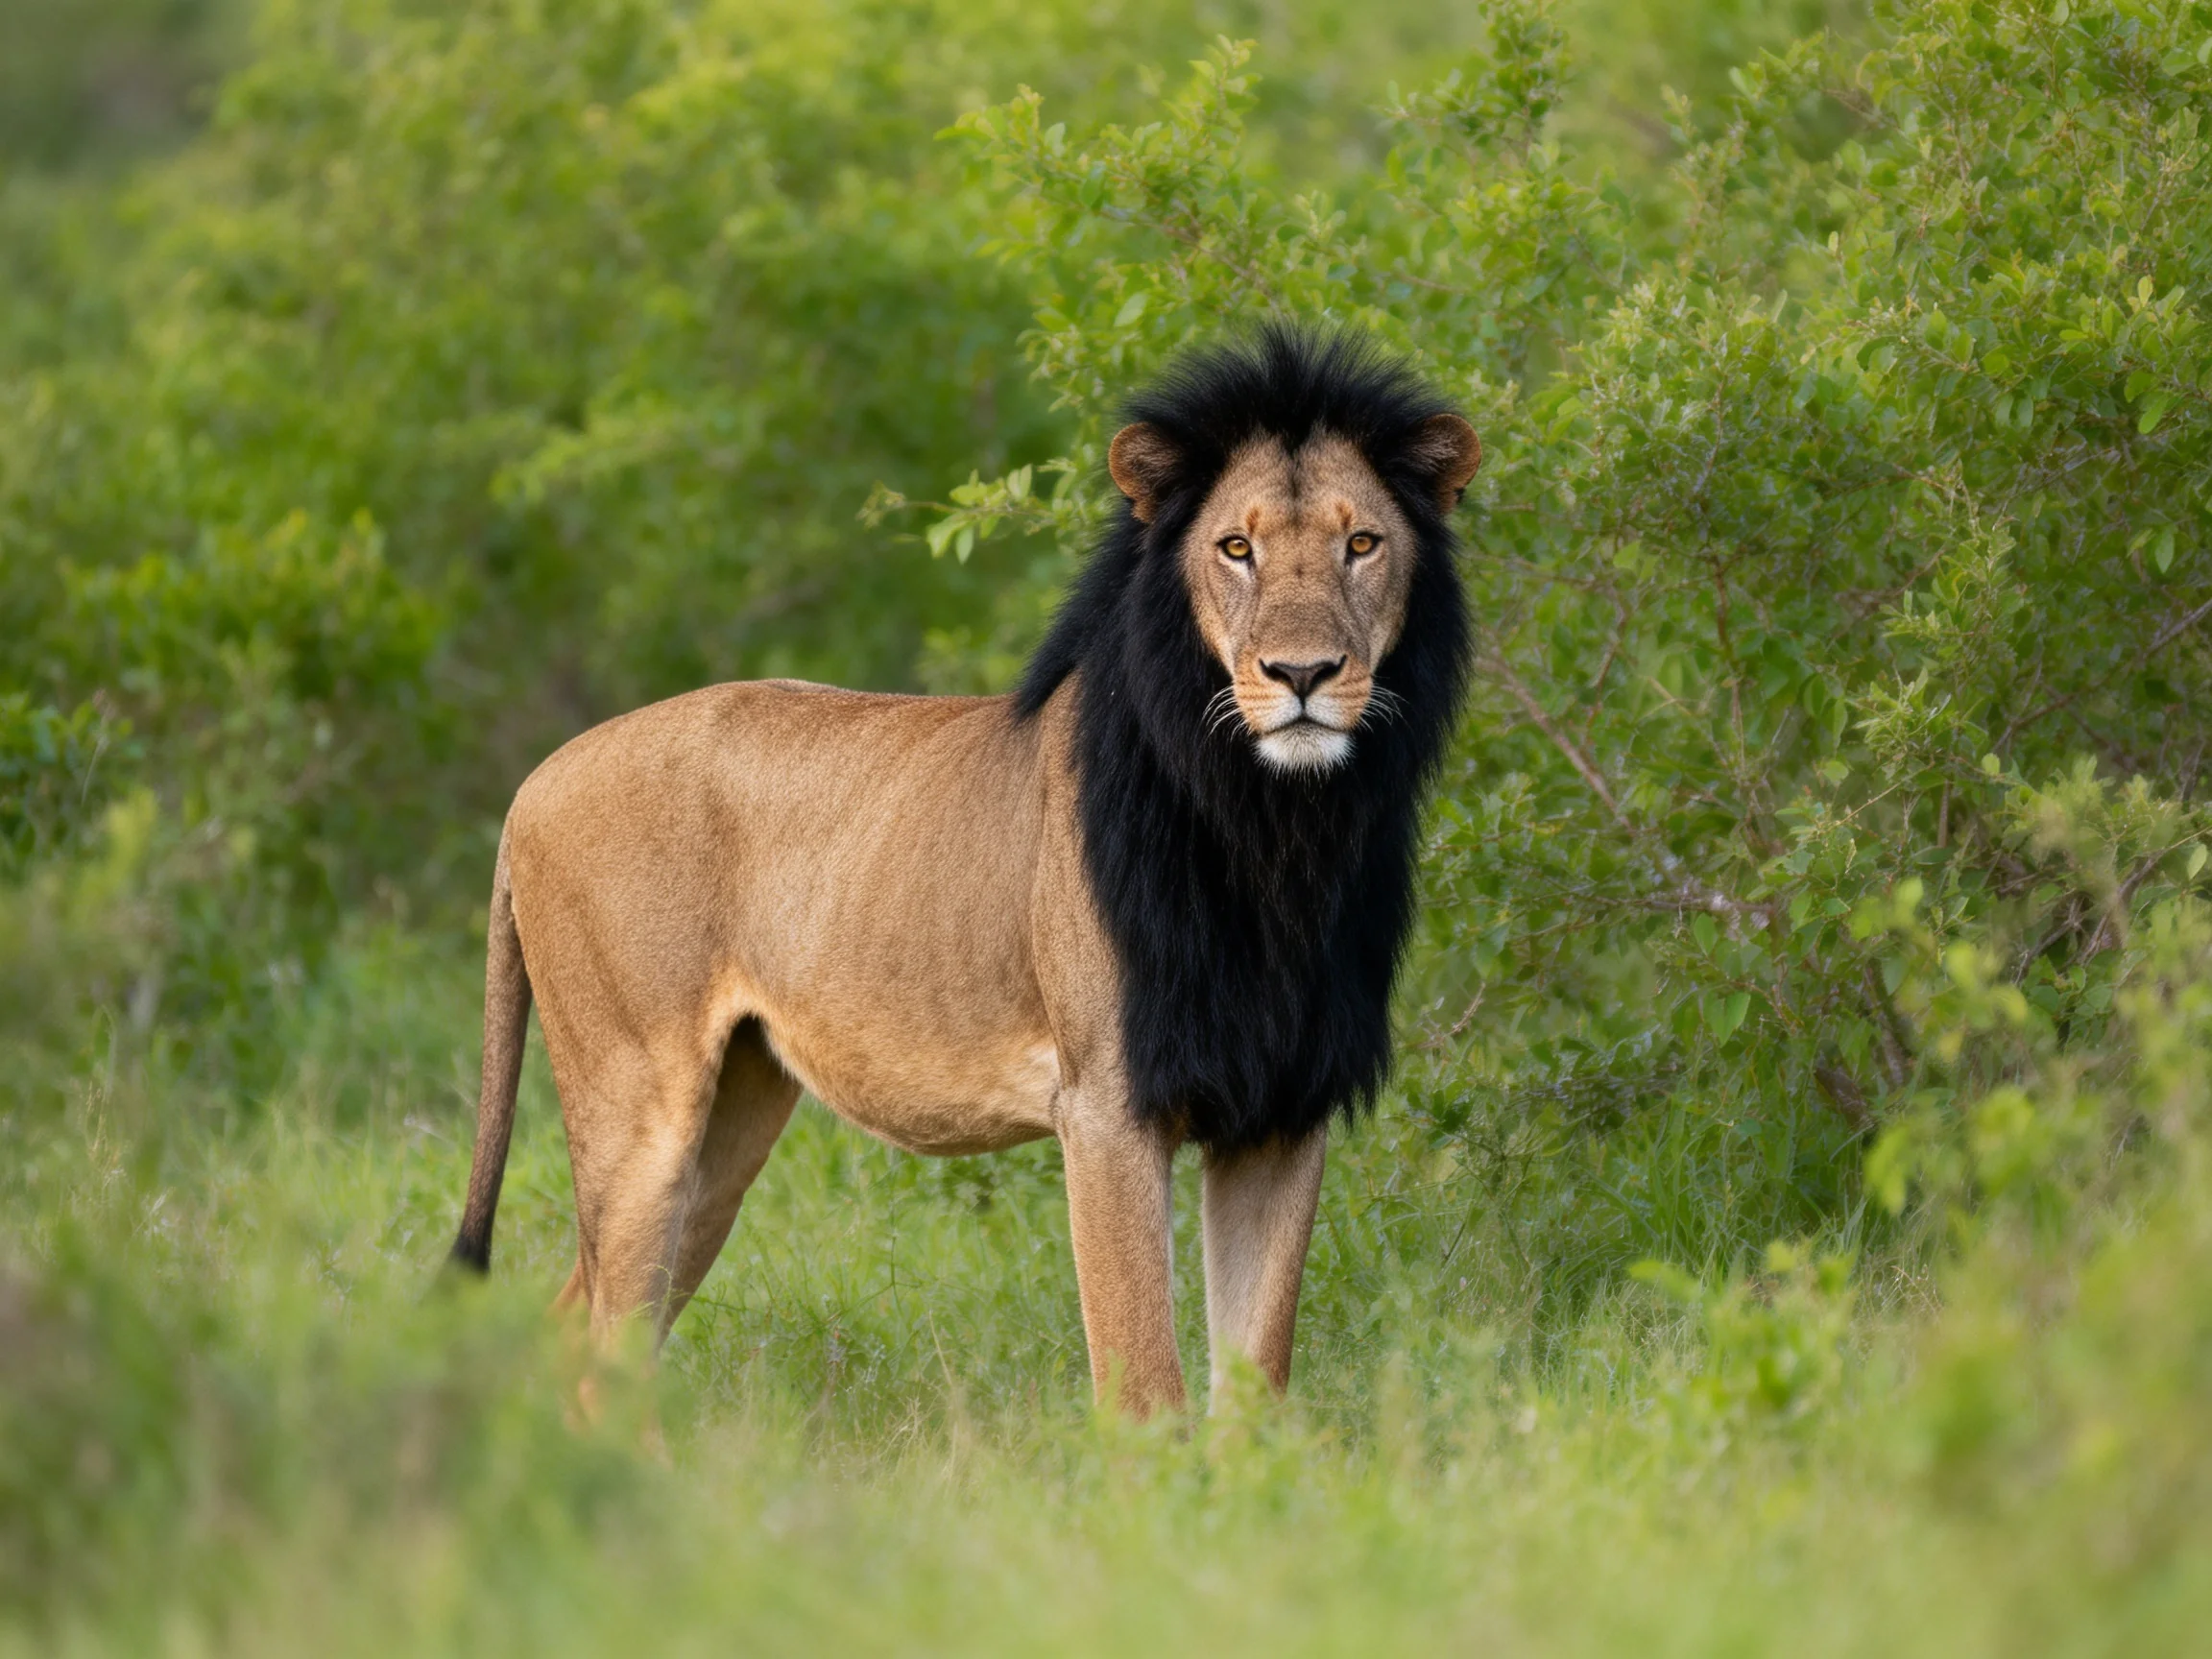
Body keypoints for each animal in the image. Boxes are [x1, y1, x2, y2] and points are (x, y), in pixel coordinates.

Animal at [449, 328, 1479, 1415]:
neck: (1281, 830)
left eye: (1361, 544)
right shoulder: (1105, 1108)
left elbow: (1254, 1390)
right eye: (1235, 549)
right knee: (605, 1353)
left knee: (573, 1324)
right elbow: (1145, 1390)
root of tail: (532, 785)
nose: (1303, 676)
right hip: (639, 1105)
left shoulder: (1280, 1112)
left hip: (729, 1119)